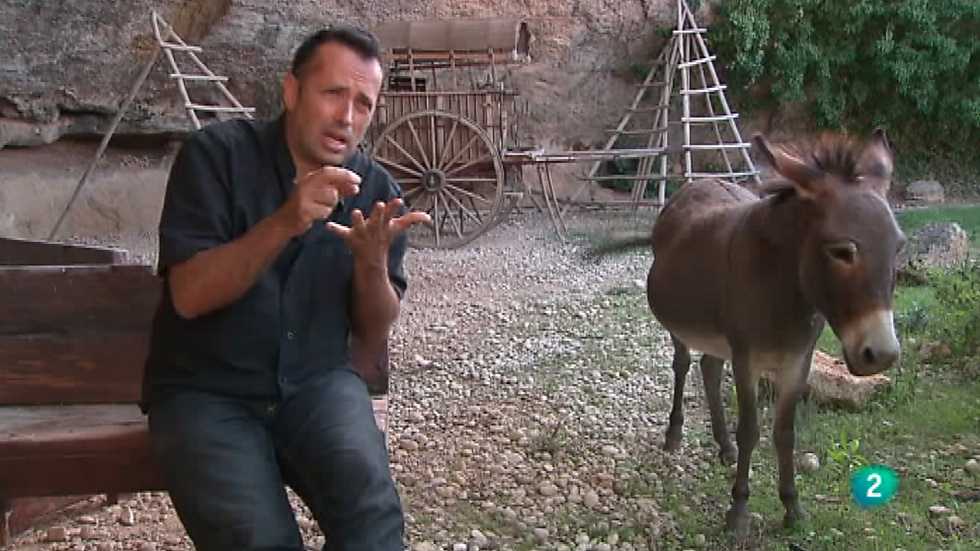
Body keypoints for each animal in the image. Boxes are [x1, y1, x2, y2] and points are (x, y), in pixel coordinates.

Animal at [635, 130, 905, 535]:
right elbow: (751, 430)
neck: (787, 289)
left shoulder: (797, 361)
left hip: (719, 337)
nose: (882, 355)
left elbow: (785, 433)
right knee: (682, 367)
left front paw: (792, 507)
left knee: (710, 370)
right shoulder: (747, 358)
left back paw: (724, 447)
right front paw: (738, 510)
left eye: (899, 248)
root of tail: (698, 183)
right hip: (681, 328)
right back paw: (675, 435)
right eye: (842, 251)